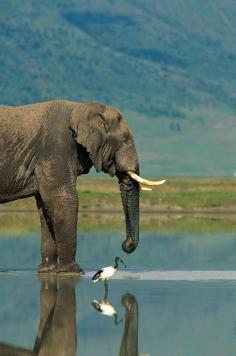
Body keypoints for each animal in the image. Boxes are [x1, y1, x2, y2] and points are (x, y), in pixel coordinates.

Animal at [0, 100, 164, 272]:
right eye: (124, 141)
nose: (125, 245)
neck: (82, 108)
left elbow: (45, 206)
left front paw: (48, 270)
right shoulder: (57, 148)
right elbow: (64, 200)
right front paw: (72, 271)